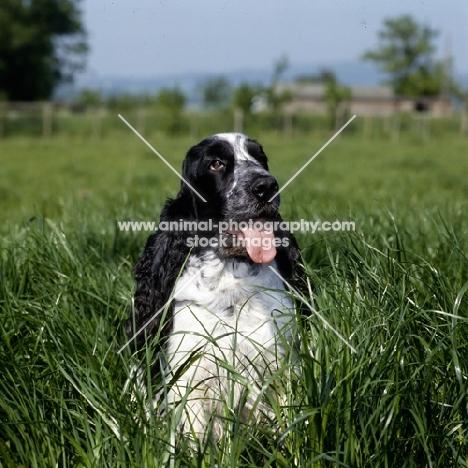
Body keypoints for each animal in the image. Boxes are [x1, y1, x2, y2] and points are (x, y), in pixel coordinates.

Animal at [126, 132, 306, 438]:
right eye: (216, 164)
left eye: (260, 158)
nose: (266, 186)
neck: (231, 280)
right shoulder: (190, 379)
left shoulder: (281, 362)